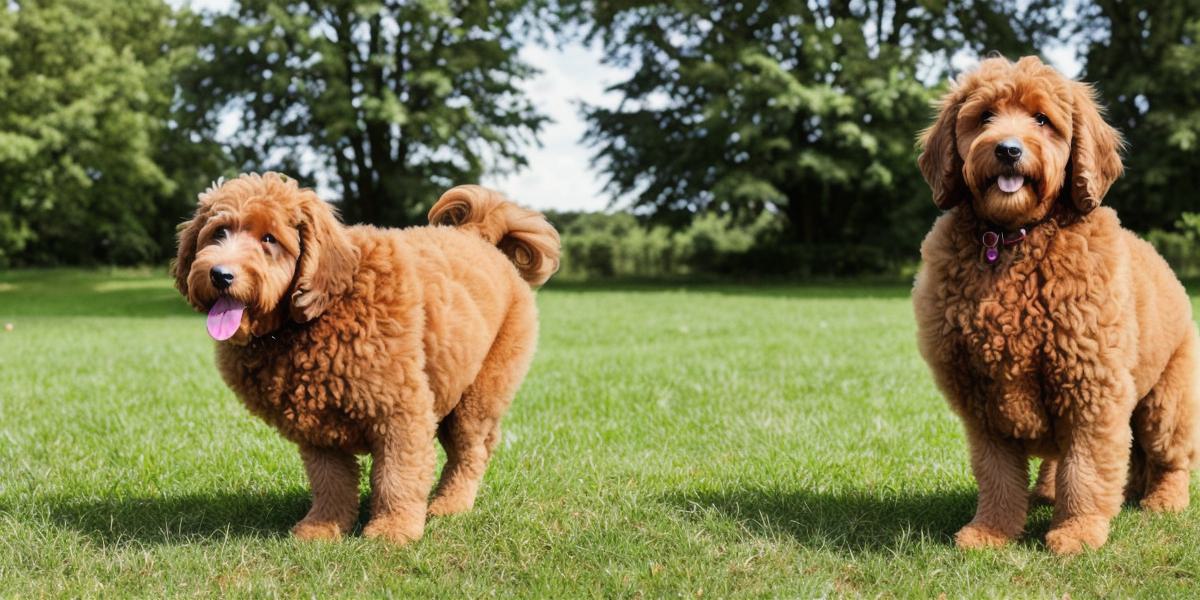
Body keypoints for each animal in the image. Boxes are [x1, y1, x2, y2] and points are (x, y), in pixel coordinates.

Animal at [174, 172, 556, 544]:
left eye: (269, 239)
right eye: (219, 232)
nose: (220, 274)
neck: (321, 310)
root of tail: (481, 234)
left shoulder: (400, 411)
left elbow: (397, 475)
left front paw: (392, 530)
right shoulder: (317, 429)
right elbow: (331, 481)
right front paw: (323, 528)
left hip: (477, 395)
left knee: (471, 453)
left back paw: (451, 504)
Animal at [912, 58, 1195, 554]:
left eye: (1042, 120)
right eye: (985, 116)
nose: (1007, 150)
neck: (1012, 240)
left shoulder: (1091, 387)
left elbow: (1086, 469)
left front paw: (1077, 532)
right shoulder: (981, 400)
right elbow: (997, 475)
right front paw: (991, 531)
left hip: (1167, 403)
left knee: (1170, 458)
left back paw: (1164, 499)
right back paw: (1046, 492)